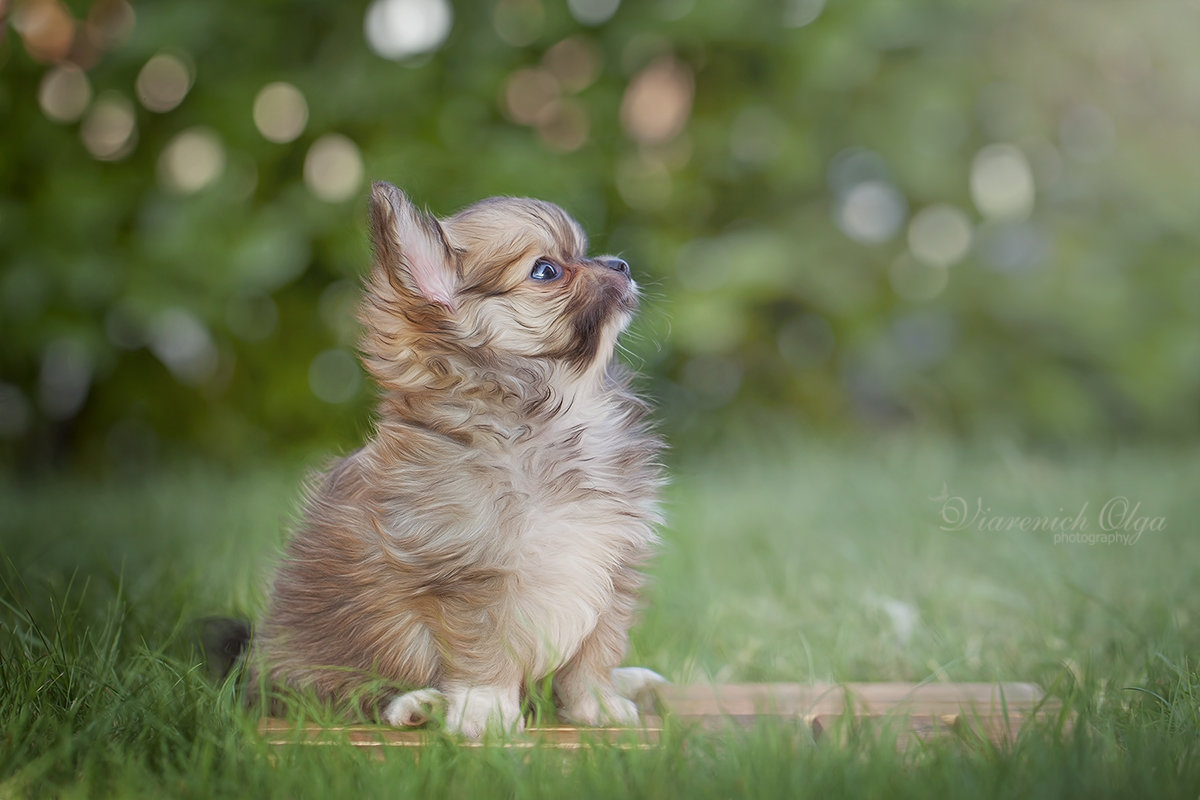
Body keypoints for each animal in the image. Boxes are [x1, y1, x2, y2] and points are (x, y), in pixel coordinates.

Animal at [247, 181, 667, 738]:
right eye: (546, 271)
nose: (620, 264)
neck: (557, 412)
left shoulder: (610, 566)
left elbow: (593, 652)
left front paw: (596, 705)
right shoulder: (469, 578)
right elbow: (484, 653)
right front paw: (485, 713)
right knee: (336, 695)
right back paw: (418, 706)